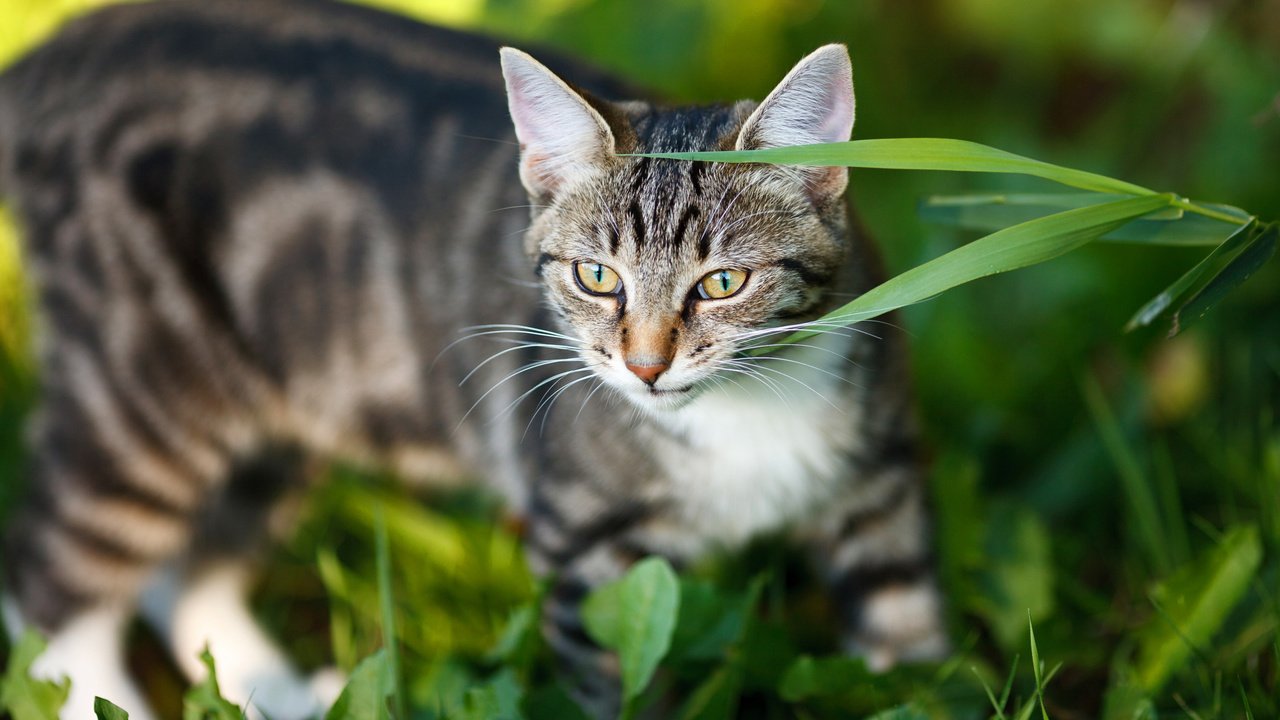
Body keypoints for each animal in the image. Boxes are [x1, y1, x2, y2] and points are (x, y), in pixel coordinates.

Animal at [0, 1, 952, 712]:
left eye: (723, 282)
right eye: (596, 276)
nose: (645, 367)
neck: (745, 413)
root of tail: (52, 58)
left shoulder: (881, 481)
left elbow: (908, 630)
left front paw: (923, 684)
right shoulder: (585, 547)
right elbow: (618, 681)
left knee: (189, 569)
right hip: (143, 381)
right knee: (56, 592)